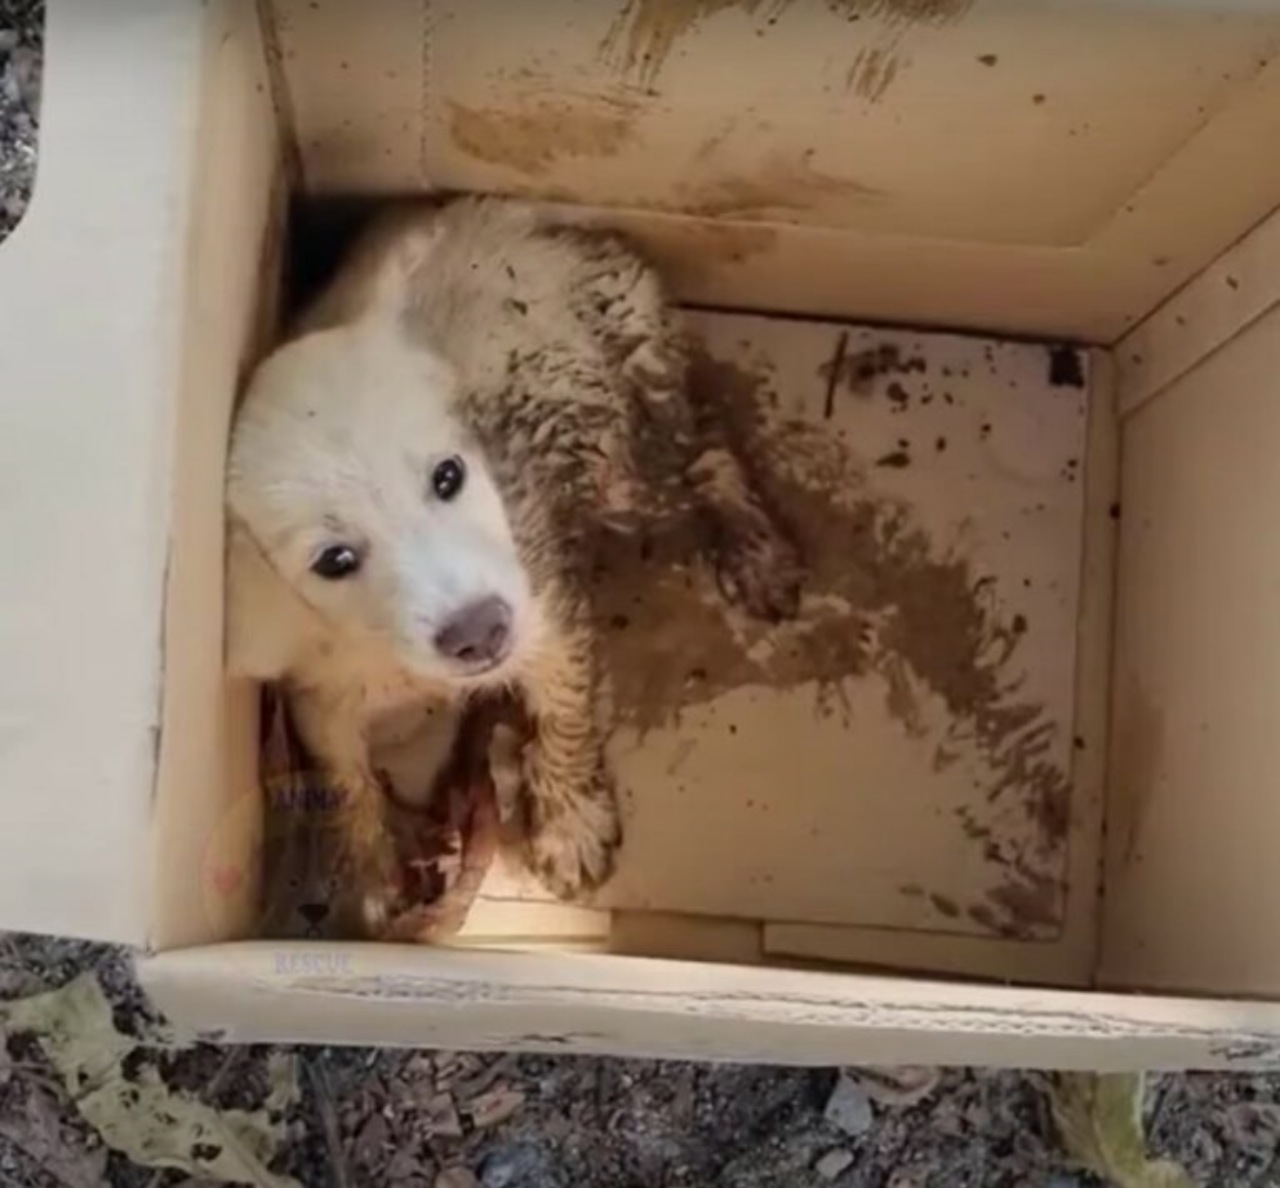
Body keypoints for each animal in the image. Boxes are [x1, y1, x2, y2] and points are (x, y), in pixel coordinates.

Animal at [222, 197, 798, 926]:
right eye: (335, 559)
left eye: (448, 476)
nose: (481, 631)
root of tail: (552, 216)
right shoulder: (315, 686)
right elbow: (341, 771)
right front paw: (366, 874)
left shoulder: (542, 597)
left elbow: (564, 711)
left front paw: (571, 822)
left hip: (624, 447)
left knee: (709, 454)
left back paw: (757, 552)